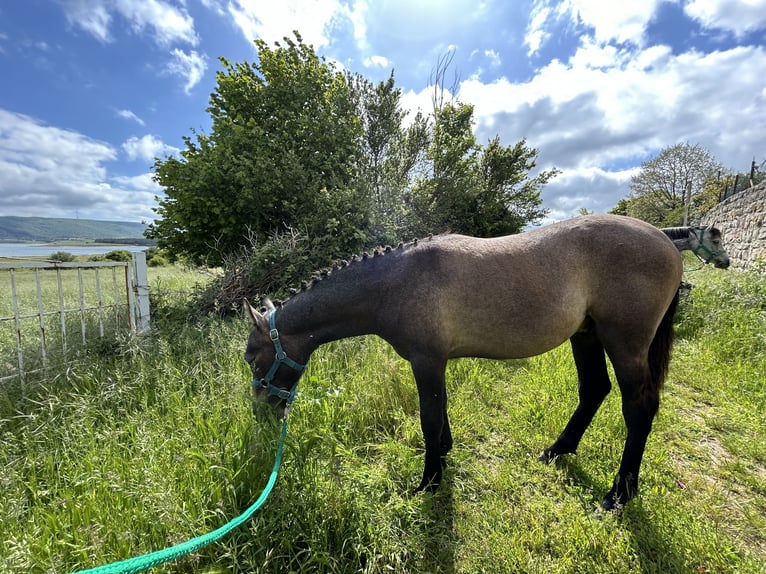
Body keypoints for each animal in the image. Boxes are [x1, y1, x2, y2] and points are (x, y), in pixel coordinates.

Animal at [244, 214, 684, 510]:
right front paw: (444, 454)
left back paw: (620, 492)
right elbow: (441, 412)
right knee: (594, 390)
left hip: (623, 342)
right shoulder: (435, 362)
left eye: (250, 359)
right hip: (587, 335)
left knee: (639, 407)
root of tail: (664, 239)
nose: (262, 412)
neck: (396, 283)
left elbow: (429, 417)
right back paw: (557, 451)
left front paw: (429, 482)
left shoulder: (426, 360)